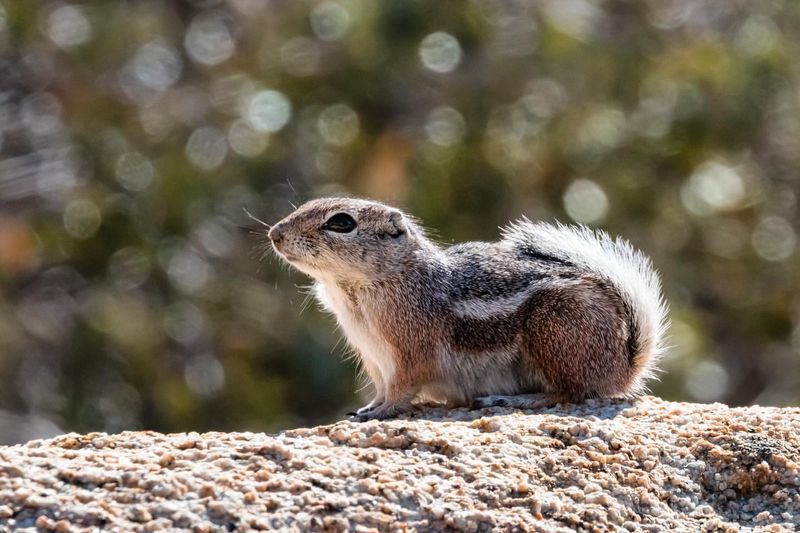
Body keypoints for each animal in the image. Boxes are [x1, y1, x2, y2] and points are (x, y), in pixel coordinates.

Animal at [268, 196, 668, 420]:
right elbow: (381, 388)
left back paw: (513, 400)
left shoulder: (412, 352)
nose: (275, 234)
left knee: (569, 393)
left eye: (341, 222)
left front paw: (380, 413)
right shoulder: (373, 358)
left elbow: (401, 390)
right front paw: (367, 408)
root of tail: (623, 368)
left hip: (554, 329)